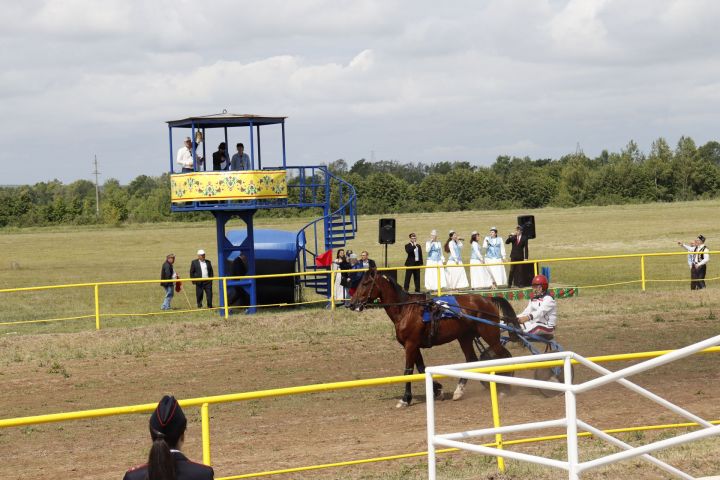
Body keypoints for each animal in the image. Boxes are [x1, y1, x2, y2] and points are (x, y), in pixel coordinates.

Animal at [348, 268, 516, 406]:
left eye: (366, 283)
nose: (352, 304)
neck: (406, 309)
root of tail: (487, 299)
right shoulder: (413, 345)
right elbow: (421, 368)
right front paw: (438, 390)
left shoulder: (411, 344)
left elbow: (408, 370)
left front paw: (405, 398)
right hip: (465, 337)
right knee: (472, 359)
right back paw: (459, 391)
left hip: (490, 334)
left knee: (503, 357)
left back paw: (505, 388)